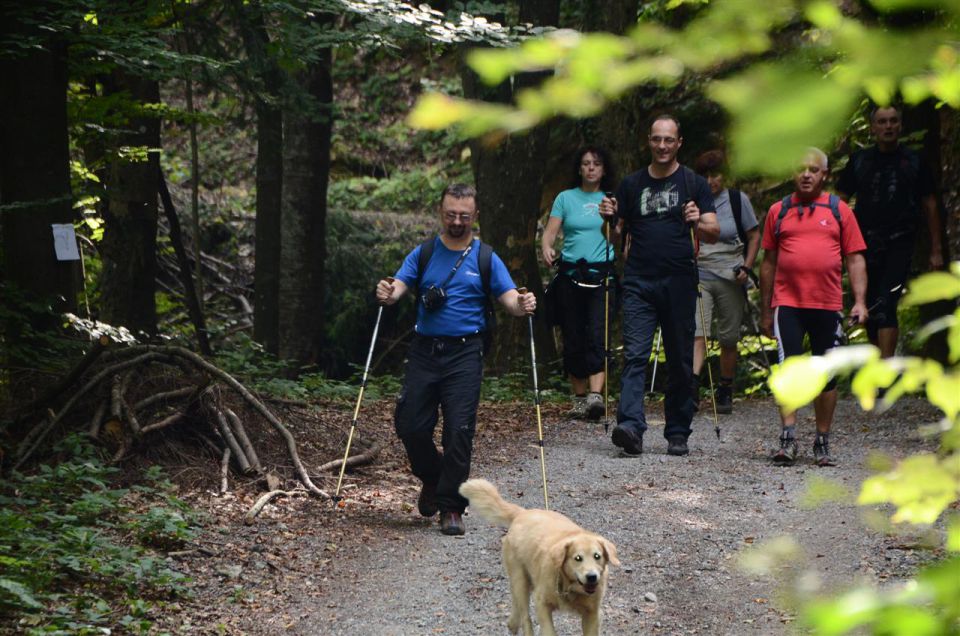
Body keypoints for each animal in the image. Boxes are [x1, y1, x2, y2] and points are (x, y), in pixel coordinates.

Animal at [460, 480, 624, 632]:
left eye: (597, 556)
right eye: (577, 558)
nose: (592, 577)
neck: (569, 586)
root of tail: (523, 513)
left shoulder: (592, 614)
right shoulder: (541, 603)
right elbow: (548, 630)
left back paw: (512, 624)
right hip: (520, 581)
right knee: (525, 617)